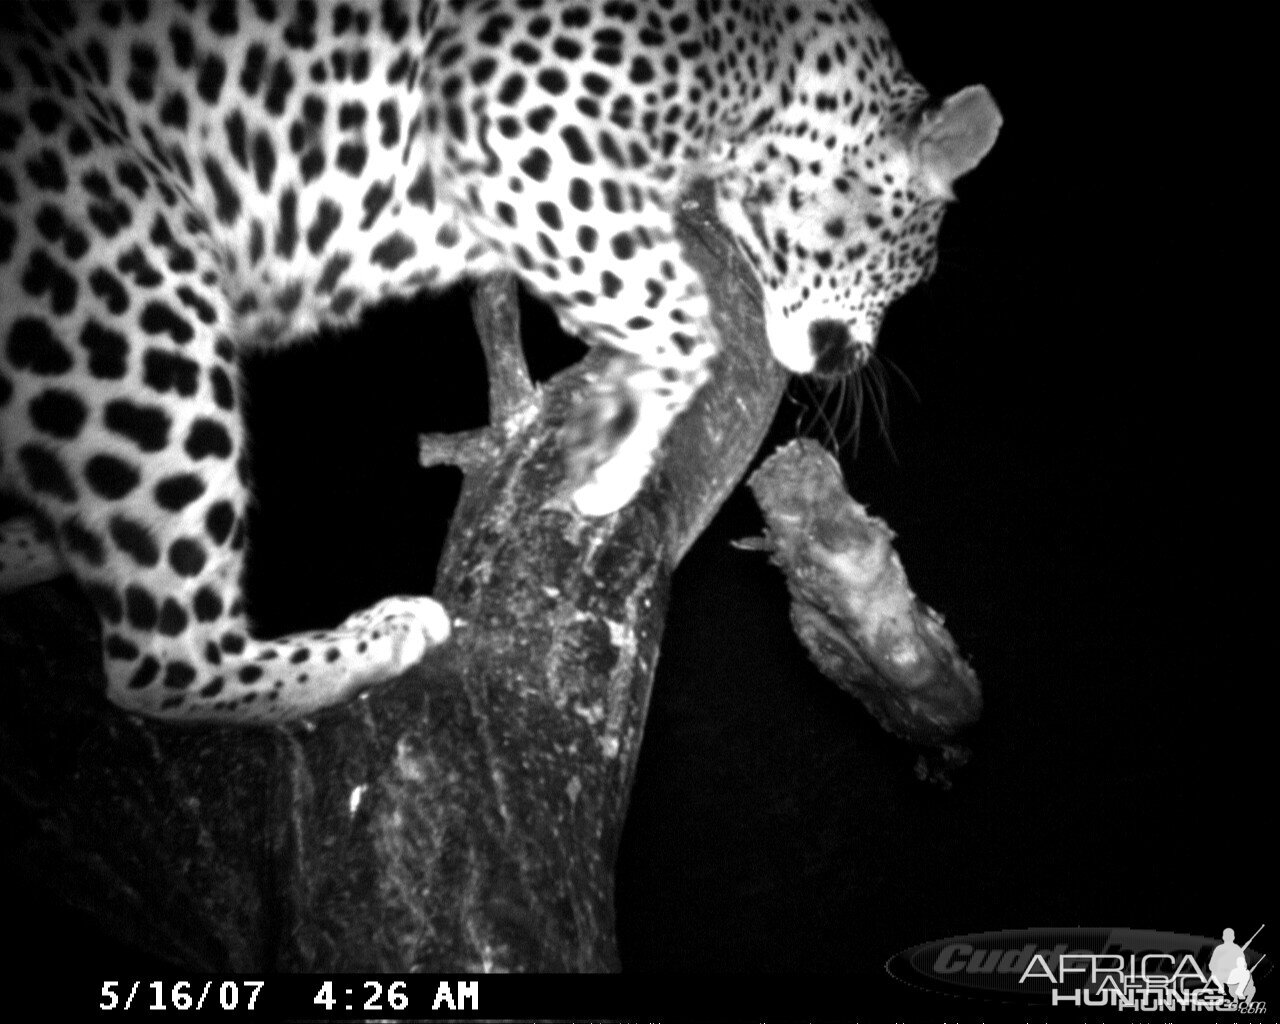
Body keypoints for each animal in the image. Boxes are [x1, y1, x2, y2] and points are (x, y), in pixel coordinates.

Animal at [0, 0, 998, 721]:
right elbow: (682, 316)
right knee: (156, 663)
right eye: (915, 267)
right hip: (141, 266)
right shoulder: (516, 115)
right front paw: (613, 463)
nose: (851, 362)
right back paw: (382, 633)